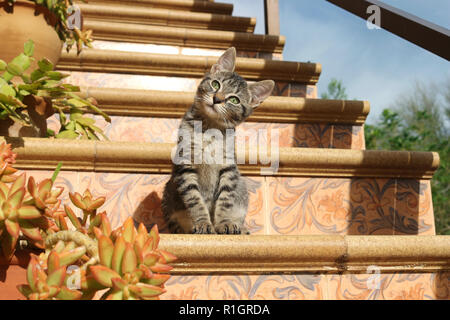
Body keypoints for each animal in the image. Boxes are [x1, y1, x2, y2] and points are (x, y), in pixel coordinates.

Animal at [162, 46, 274, 234]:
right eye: (215, 84)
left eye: (234, 100)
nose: (217, 99)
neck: (209, 128)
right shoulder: (185, 164)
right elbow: (195, 200)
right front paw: (203, 223)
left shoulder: (228, 168)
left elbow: (225, 201)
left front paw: (224, 223)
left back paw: (239, 228)